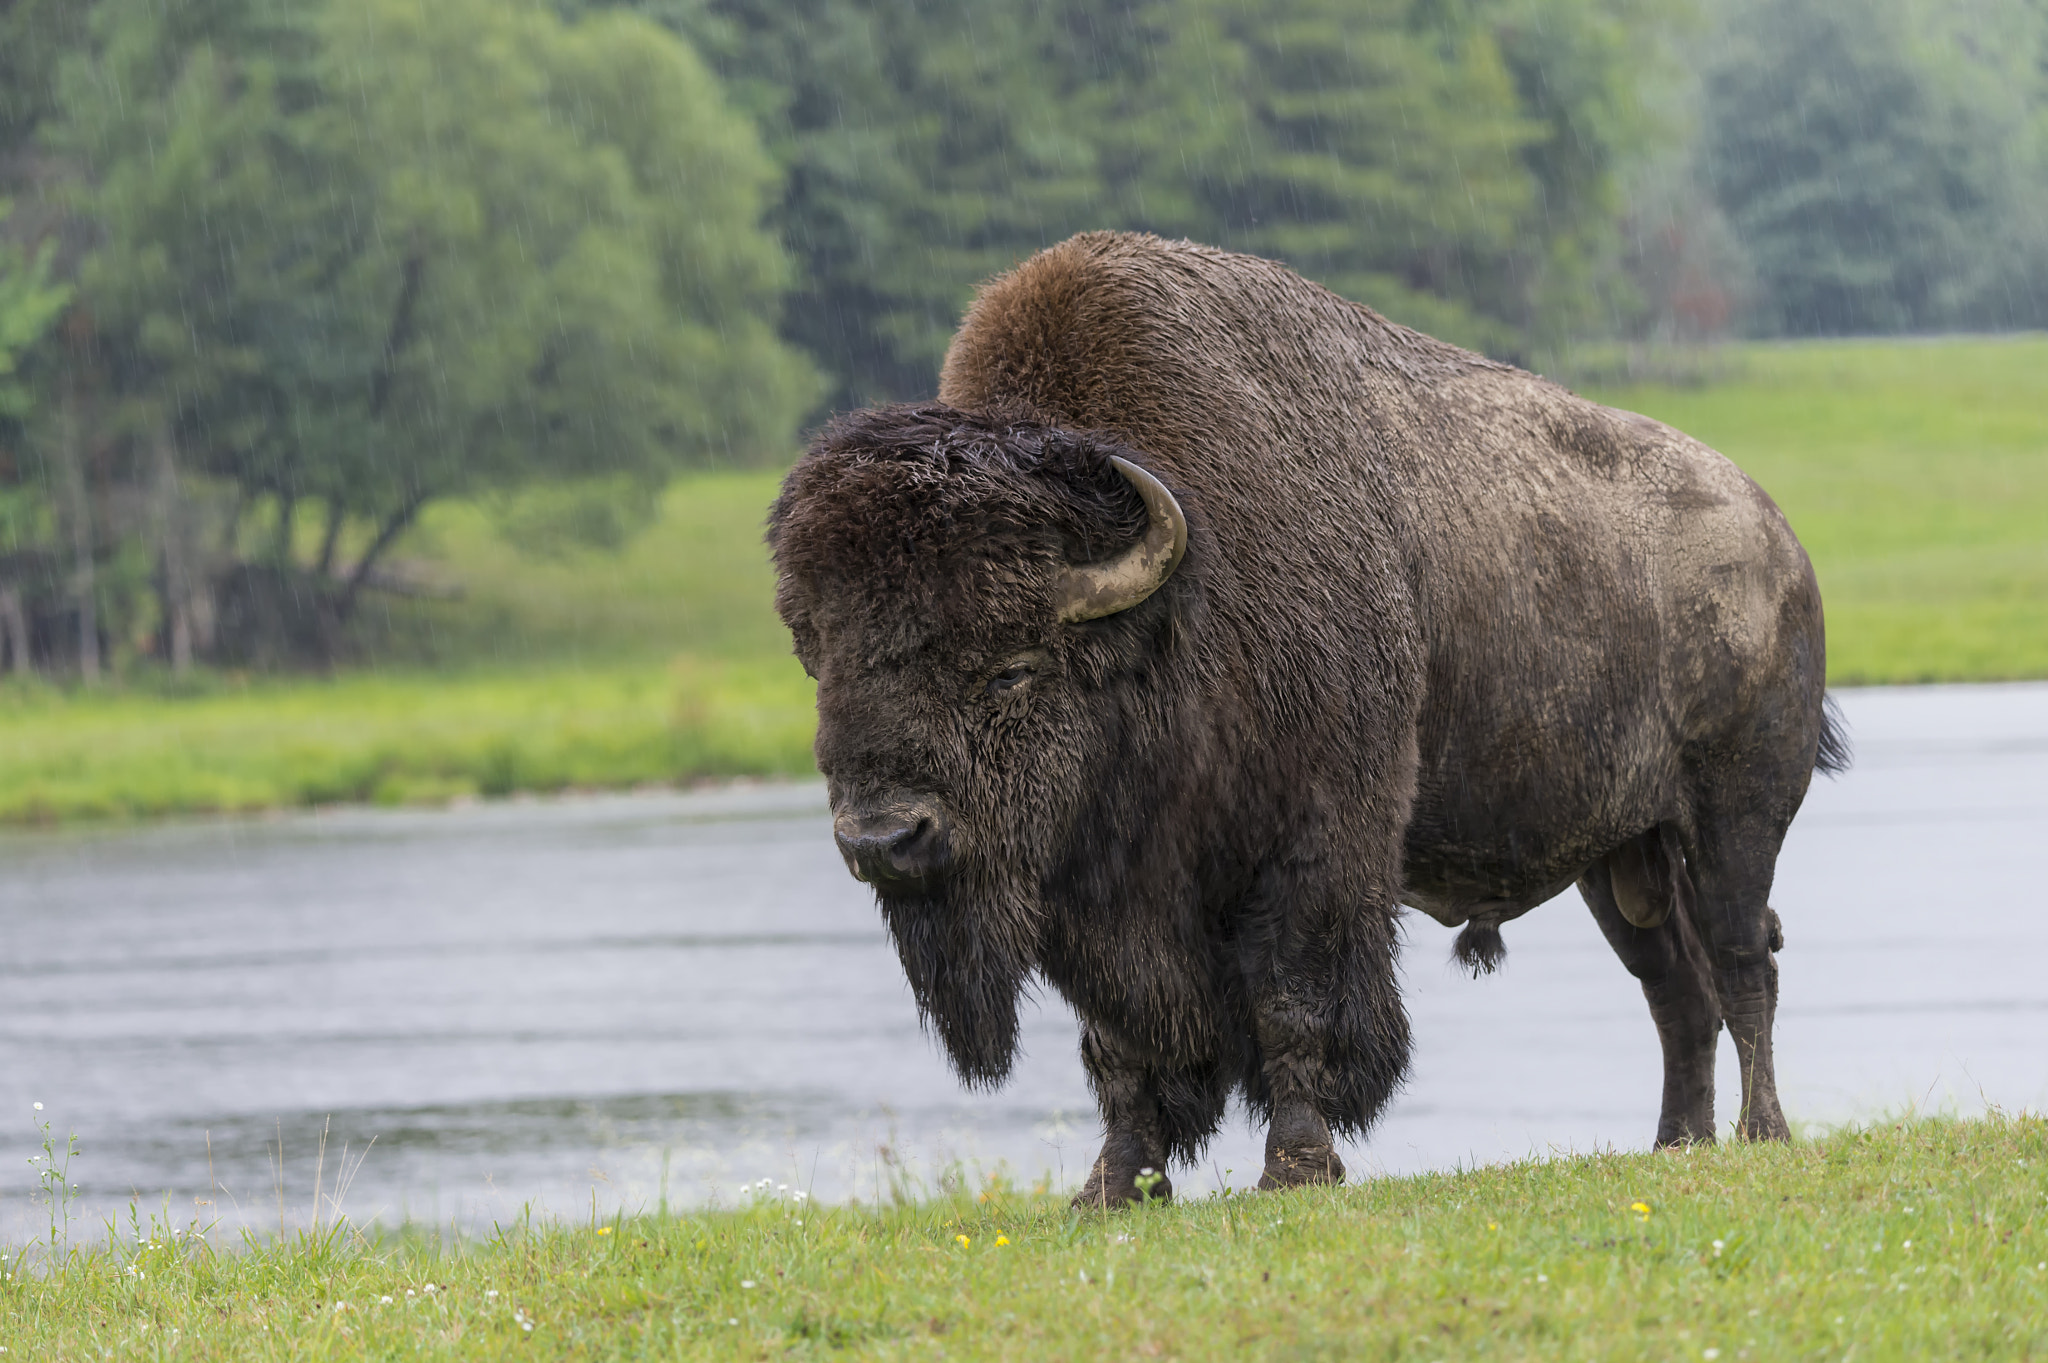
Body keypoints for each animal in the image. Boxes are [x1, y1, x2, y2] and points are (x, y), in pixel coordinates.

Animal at [768, 232, 1845, 1206]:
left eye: (1010, 668)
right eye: (820, 659)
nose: (883, 839)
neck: (1172, 604)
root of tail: (1781, 542)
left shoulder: (1313, 846)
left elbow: (1290, 1003)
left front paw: (1295, 1168)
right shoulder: (1099, 900)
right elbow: (1120, 1046)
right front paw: (1112, 1186)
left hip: (1732, 820)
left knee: (1740, 962)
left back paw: (1760, 1133)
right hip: (1619, 859)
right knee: (1676, 992)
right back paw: (1675, 1144)